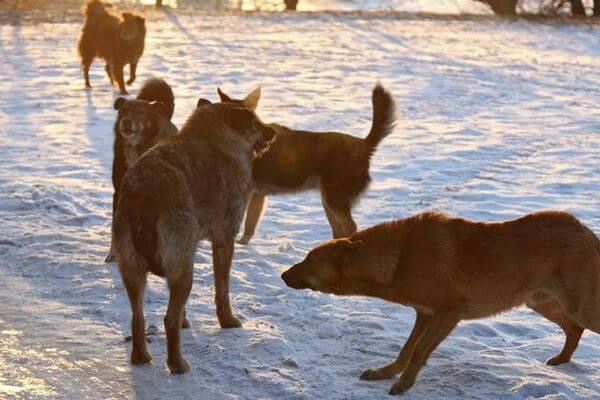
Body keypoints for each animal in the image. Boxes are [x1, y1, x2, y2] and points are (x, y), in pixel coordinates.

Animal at [113, 98, 276, 374]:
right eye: (255, 123)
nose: (273, 131)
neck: (217, 140)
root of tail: (144, 194)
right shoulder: (224, 239)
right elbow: (222, 289)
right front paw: (227, 320)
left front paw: (186, 320)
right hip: (183, 268)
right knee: (168, 318)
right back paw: (177, 364)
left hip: (133, 267)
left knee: (138, 316)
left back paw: (141, 357)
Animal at [217, 84, 398, 244]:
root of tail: (364, 144)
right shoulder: (258, 195)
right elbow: (250, 225)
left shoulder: (249, 194)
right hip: (328, 201)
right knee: (339, 229)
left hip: (334, 199)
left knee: (350, 227)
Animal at [282, 211, 600, 396]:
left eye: (309, 259)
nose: (282, 274)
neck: (398, 258)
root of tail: (586, 231)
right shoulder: (425, 314)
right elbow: (407, 350)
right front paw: (387, 373)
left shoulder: (449, 312)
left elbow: (418, 350)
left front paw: (403, 385)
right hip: (542, 302)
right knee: (573, 330)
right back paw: (561, 359)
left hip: (579, 307)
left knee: (579, 326)